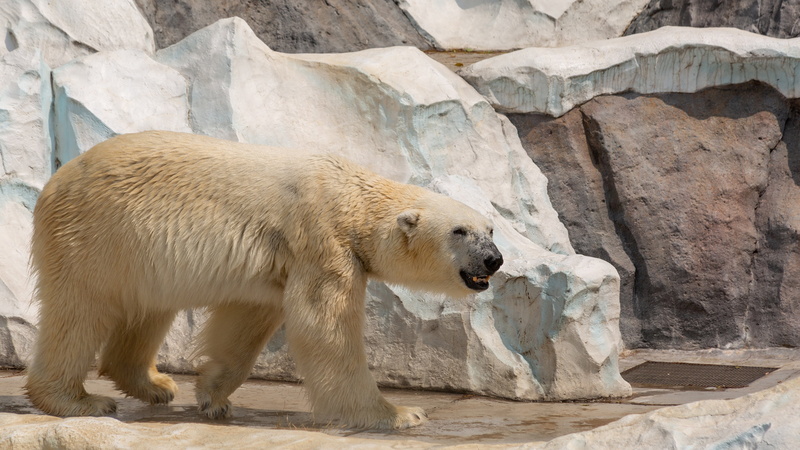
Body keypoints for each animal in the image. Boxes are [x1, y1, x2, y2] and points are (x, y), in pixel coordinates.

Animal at [24, 130, 503, 429]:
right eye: (459, 231)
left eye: (491, 229)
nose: (494, 260)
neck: (352, 198)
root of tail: (55, 180)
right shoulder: (322, 241)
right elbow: (324, 329)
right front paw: (399, 414)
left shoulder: (280, 261)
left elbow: (248, 320)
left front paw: (213, 396)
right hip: (96, 233)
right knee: (80, 310)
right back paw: (78, 400)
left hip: (140, 252)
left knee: (149, 308)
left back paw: (155, 384)